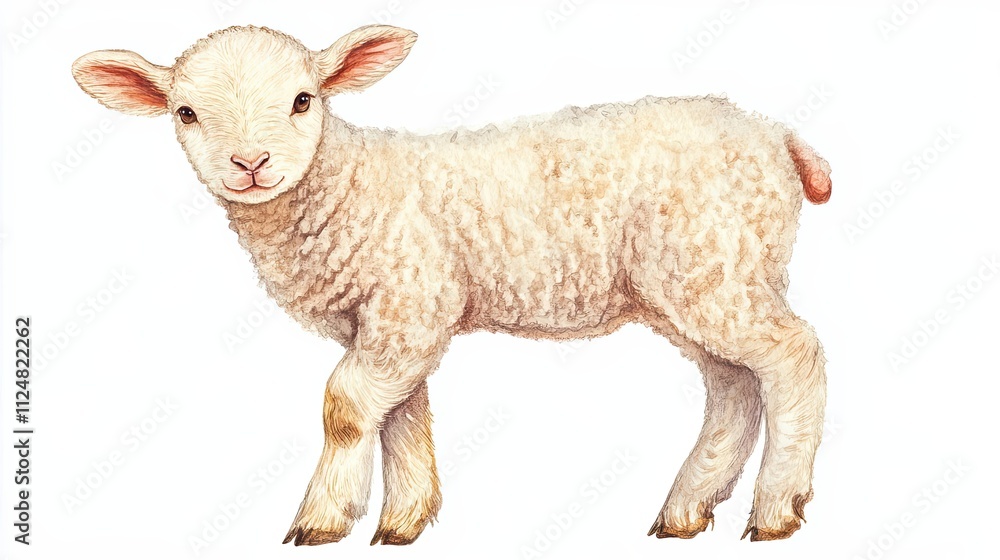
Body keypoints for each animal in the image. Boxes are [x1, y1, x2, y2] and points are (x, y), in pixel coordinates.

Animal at [71, 24, 832, 546]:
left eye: (302, 100)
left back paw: (777, 509)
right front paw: (403, 520)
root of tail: (779, 137)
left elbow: (345, 406)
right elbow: (401, 412)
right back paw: (686, 509)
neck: (346, 184)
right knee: (732, 385)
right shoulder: (398, 315)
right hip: (697, 280)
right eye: (185, 113)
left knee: (794, 355)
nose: (250, 164)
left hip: (716, 262)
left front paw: (322, 521)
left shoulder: (409, 301)